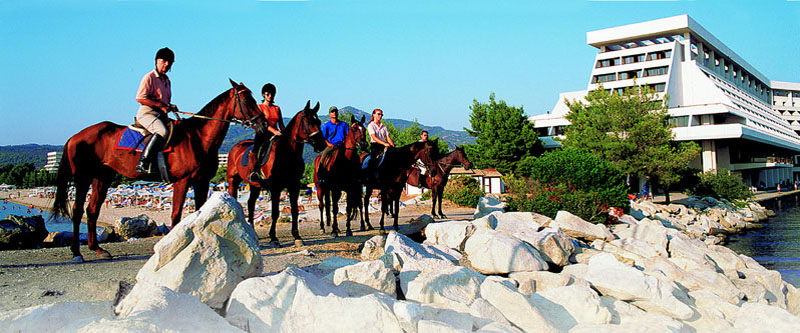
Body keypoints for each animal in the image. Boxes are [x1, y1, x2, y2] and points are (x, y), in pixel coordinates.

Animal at [53, 80, 266, 262]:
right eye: (246, 100)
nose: (263, 124)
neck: (197, 139)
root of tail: (75, 136)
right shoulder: (182, 181)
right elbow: (176, 214)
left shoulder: (202, 182)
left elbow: (199, 212)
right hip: (83, 177)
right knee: (78, 210)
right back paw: (76, 252)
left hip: (102, 178)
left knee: (92, 210)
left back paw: (97, 249)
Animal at [225, 101, 324, 246]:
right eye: (309, 122)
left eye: (319, 122)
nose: (321, 144)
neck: (287, 153)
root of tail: (236, 147)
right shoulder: (275, 187)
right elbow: (275, 212)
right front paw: (273, 238)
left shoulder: (293, 186)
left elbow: (295, 211)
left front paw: (297, 236)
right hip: (233, 180)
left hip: (254, 185)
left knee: (250, 203)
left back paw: (253, 232)